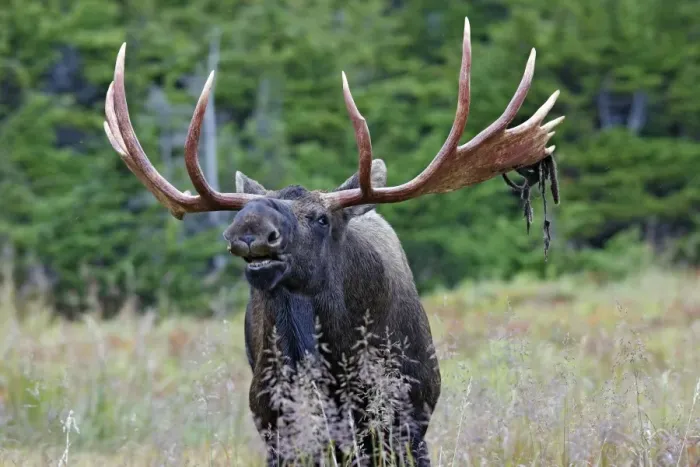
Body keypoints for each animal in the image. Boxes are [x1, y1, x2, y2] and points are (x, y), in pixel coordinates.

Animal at [103, 17, 563, 467]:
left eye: (321, 219)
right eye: (249, 210)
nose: (249, 229)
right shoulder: (277, 424)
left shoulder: (411, 417)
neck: (340, 363)